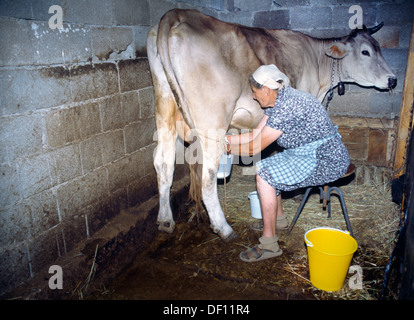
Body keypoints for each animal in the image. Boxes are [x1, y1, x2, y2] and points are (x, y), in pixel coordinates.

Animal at [148, 8, 398, 240]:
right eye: (365, 51)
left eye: (378, 48)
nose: (392, 79)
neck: (319, 66)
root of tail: (178, 14)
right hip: (212, 120)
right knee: (207, 176)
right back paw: (223, 228)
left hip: (165, 110)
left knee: (163, 163)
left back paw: (165, 221)